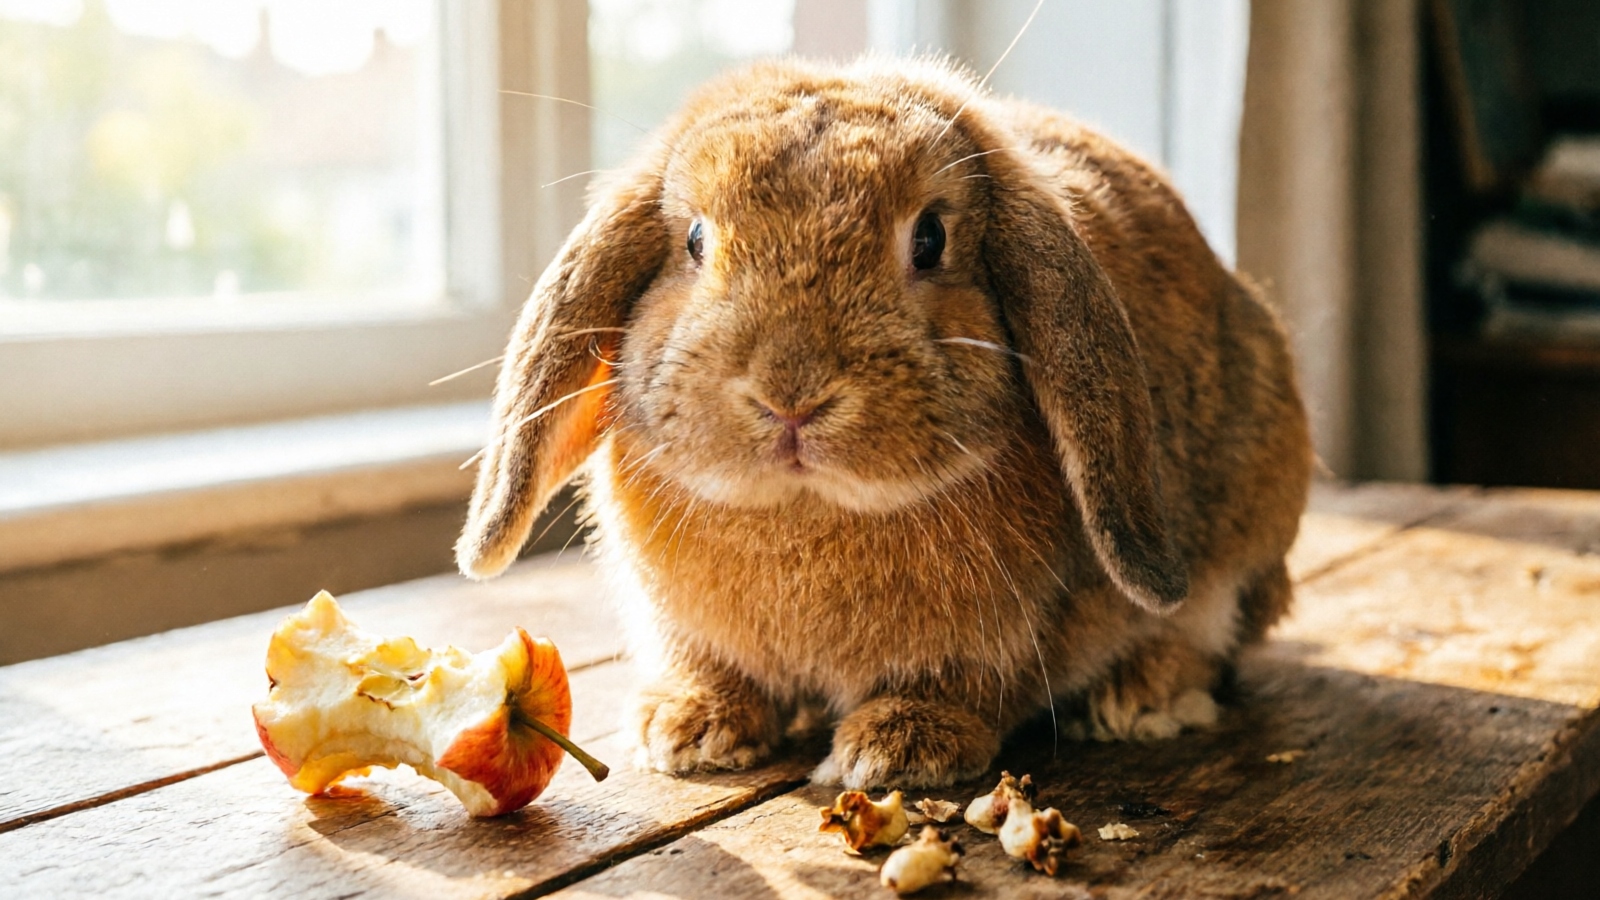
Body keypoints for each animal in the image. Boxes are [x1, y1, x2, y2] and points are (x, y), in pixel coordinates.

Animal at [455, 57, 1312, 790]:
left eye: (930, 238)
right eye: (695, 240)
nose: (790, 393)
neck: (807, 510)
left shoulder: (994, 644)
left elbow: (970, 687)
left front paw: (898, 748)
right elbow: (712, 669)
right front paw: (686, 728)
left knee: (1210, 633)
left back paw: (1141, 697)